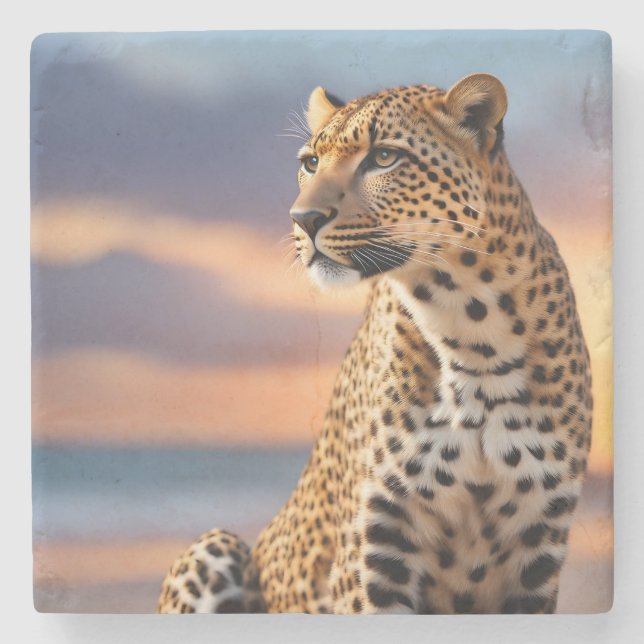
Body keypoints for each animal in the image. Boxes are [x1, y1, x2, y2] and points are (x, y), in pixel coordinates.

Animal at [157, 73, 593, 614]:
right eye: (311, 163)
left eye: (384, 158)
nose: (303, 218)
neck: (473, 332)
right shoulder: (374, 553)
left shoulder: (537, 553)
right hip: (215, 545)